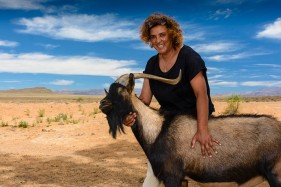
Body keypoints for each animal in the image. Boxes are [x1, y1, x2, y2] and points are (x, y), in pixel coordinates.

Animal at [98, 71, 280, 186]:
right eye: (108, 91)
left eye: (120, 92)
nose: (102, 104)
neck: (158, 129)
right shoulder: (181, 178)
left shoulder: (172, 175)